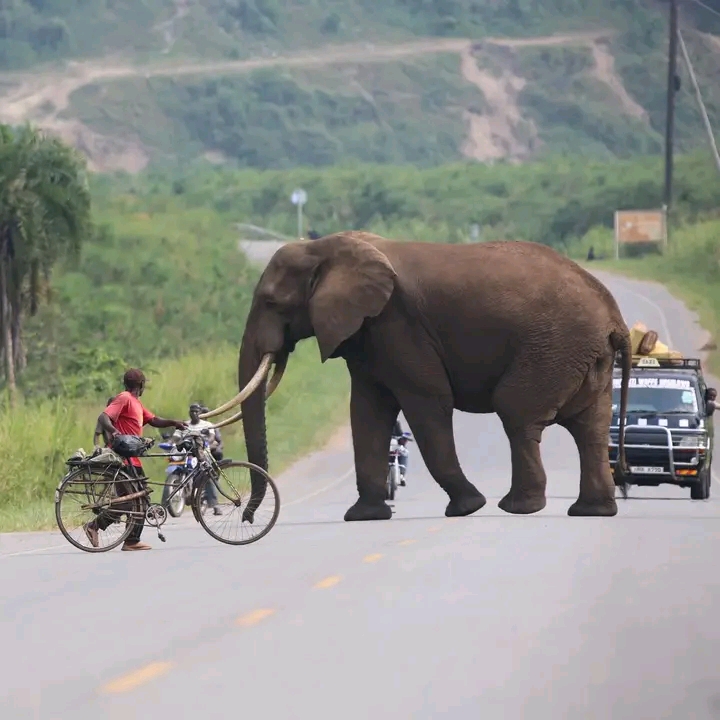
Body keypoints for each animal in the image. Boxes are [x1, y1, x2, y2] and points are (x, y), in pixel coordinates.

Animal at [201, 231, 631, 522]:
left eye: (272, 302)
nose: (246, 515)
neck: (325, 248)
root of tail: (614, 317)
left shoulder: (398, 325)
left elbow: (426, 403)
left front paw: (467, 507)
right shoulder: (367, 332)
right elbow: (368, 411)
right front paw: (364, 516)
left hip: (553, 347)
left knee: (517, 412)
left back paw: (517, 508)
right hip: (582, 356)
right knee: (590, 427)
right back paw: (591, 511)